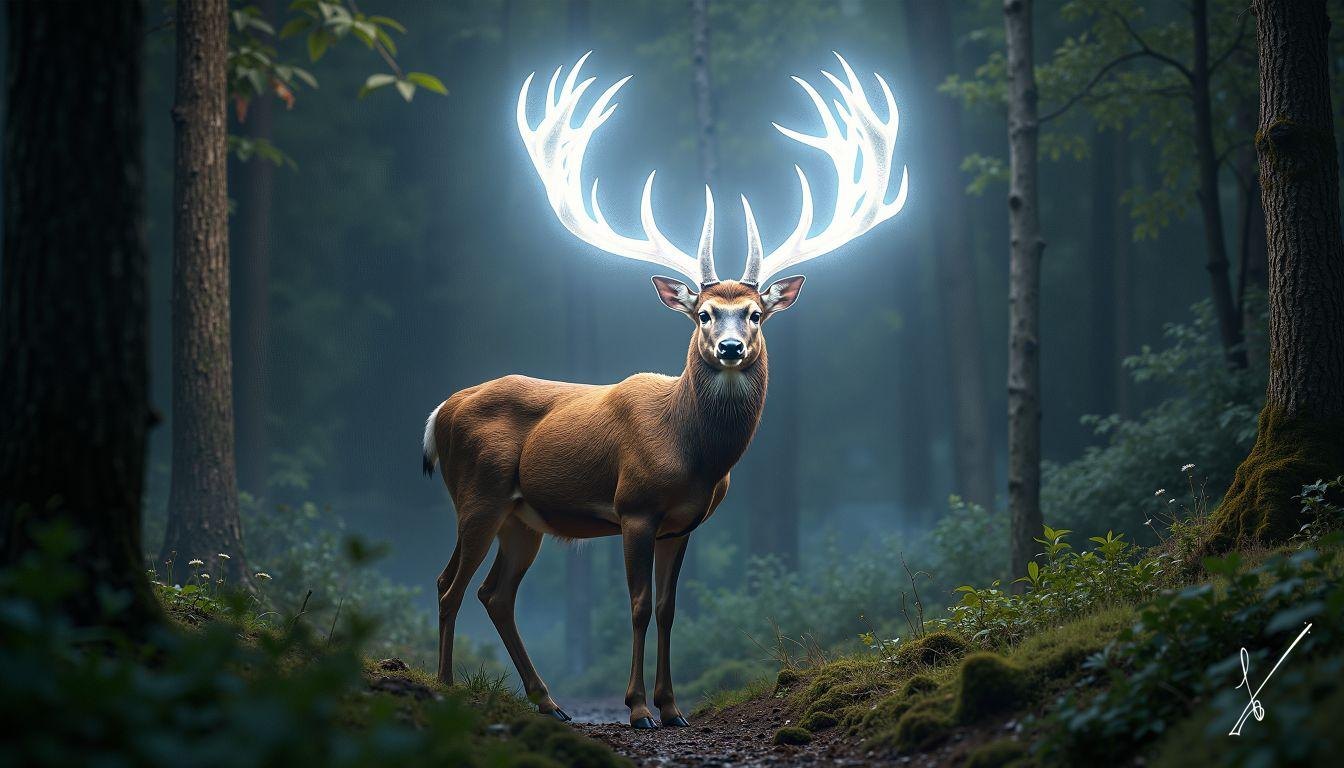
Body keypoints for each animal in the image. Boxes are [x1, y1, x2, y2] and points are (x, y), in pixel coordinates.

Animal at [421, 52, 907, 729]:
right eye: (703, 313)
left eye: (755, 314)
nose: (729, 348)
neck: (694, 454)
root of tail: (440, 411)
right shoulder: (634, 507)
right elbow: (637, 605)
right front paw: (637, 708)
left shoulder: (684, 523)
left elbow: (671, 609)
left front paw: (673, 707)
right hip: (477, 494)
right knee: (450, 584)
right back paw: (445, 686)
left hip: (523, 517)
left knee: (495, 594)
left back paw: (548, 701)